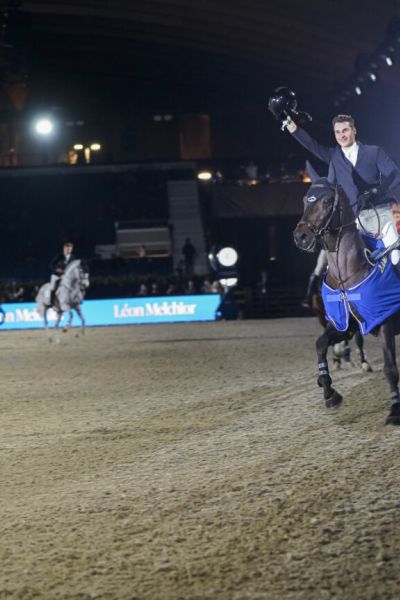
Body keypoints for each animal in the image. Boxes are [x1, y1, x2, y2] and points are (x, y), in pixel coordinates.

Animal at [292, 178, 400, 426]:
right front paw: (329, 392)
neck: (347, 276)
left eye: (326, 201)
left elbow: (390, 368)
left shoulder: (385, 322)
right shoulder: (343, 325)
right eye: (304, 200)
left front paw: (394, 411)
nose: (301, 236)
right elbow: (321, 344)